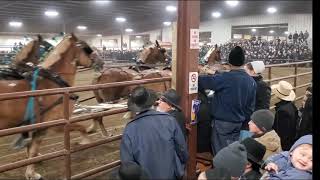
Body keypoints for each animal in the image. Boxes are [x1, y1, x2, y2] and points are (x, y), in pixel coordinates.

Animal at [0, 33, 94, 179]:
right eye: (86, 48)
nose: (98, 61)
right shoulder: (55, 123)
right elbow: (80, 127)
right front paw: (32, 173)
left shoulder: (33, 125)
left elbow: (31, 147)